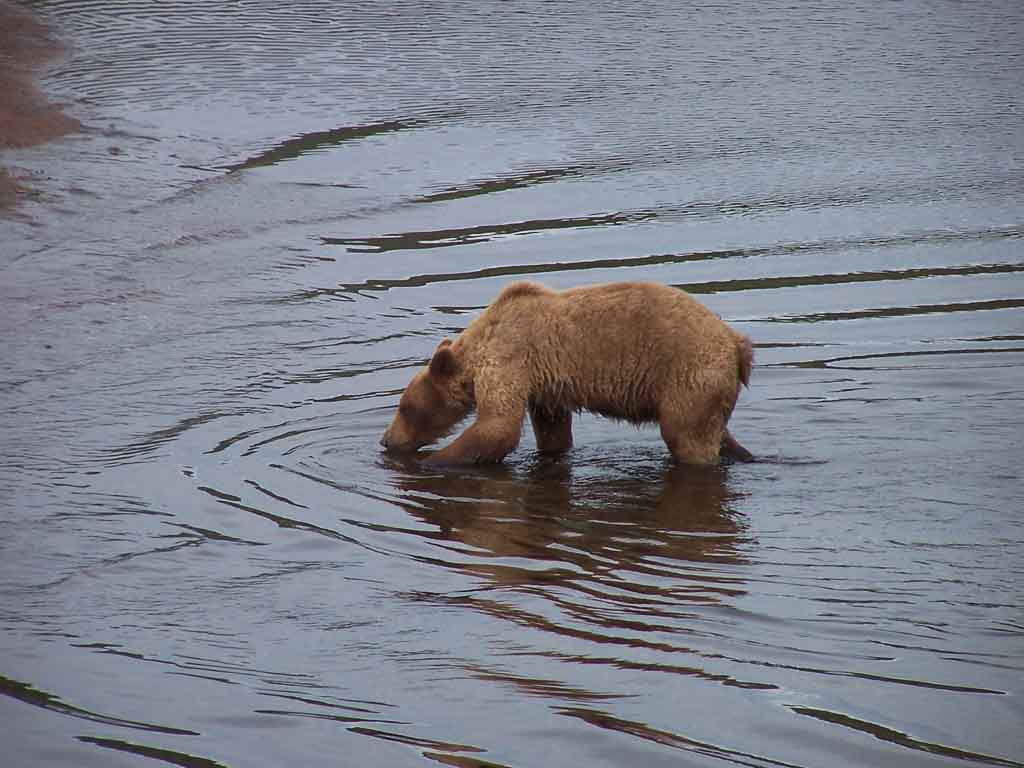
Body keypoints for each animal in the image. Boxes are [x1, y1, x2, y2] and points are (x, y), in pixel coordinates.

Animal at [382, 280, 753, 466]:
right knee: (716, 433)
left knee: (687, 439)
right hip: (709, 392)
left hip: (689, 374)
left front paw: (431, 462)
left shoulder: (510, 358)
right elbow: (553, 431)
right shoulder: (545, 387)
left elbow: (497, 427)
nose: (386, 439)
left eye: (405, 407)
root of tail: (738, 345)